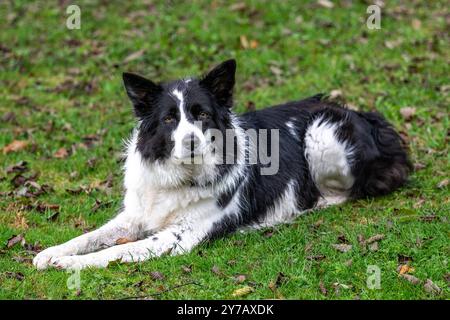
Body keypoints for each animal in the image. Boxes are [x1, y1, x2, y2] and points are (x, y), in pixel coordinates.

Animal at [32, 59, 412, 270]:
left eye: (201, 115)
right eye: (169, 119)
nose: (190, 141)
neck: (180, 176)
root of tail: (370, 117)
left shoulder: (179, 237)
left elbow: (116, 252)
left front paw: (70, 264)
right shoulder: (135, 215)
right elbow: (92, 236)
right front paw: (53, 253)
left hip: (322, 132)